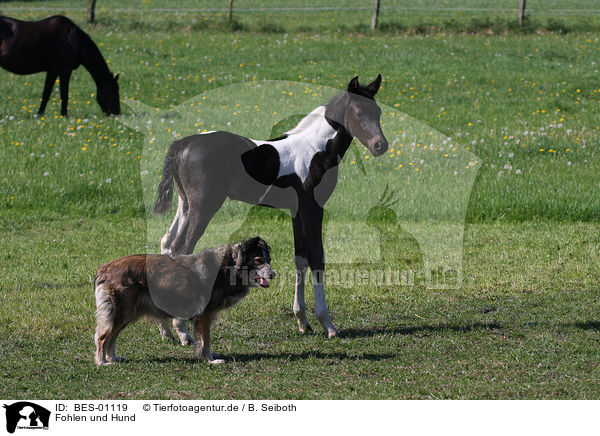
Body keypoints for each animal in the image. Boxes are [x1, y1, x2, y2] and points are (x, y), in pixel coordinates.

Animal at [94, 235, 274, 364]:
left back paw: (113, 358)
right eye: (258, 261)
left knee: (111, 338)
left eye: (269, 260)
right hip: (121, 312)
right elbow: (204, 340)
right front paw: (210, 360)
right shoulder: (205, 315)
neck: (232, 264)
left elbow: (202, 339)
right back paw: (102, 362)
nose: (273, 274)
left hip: (125, 315)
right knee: (103, 338)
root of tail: (105, 268)